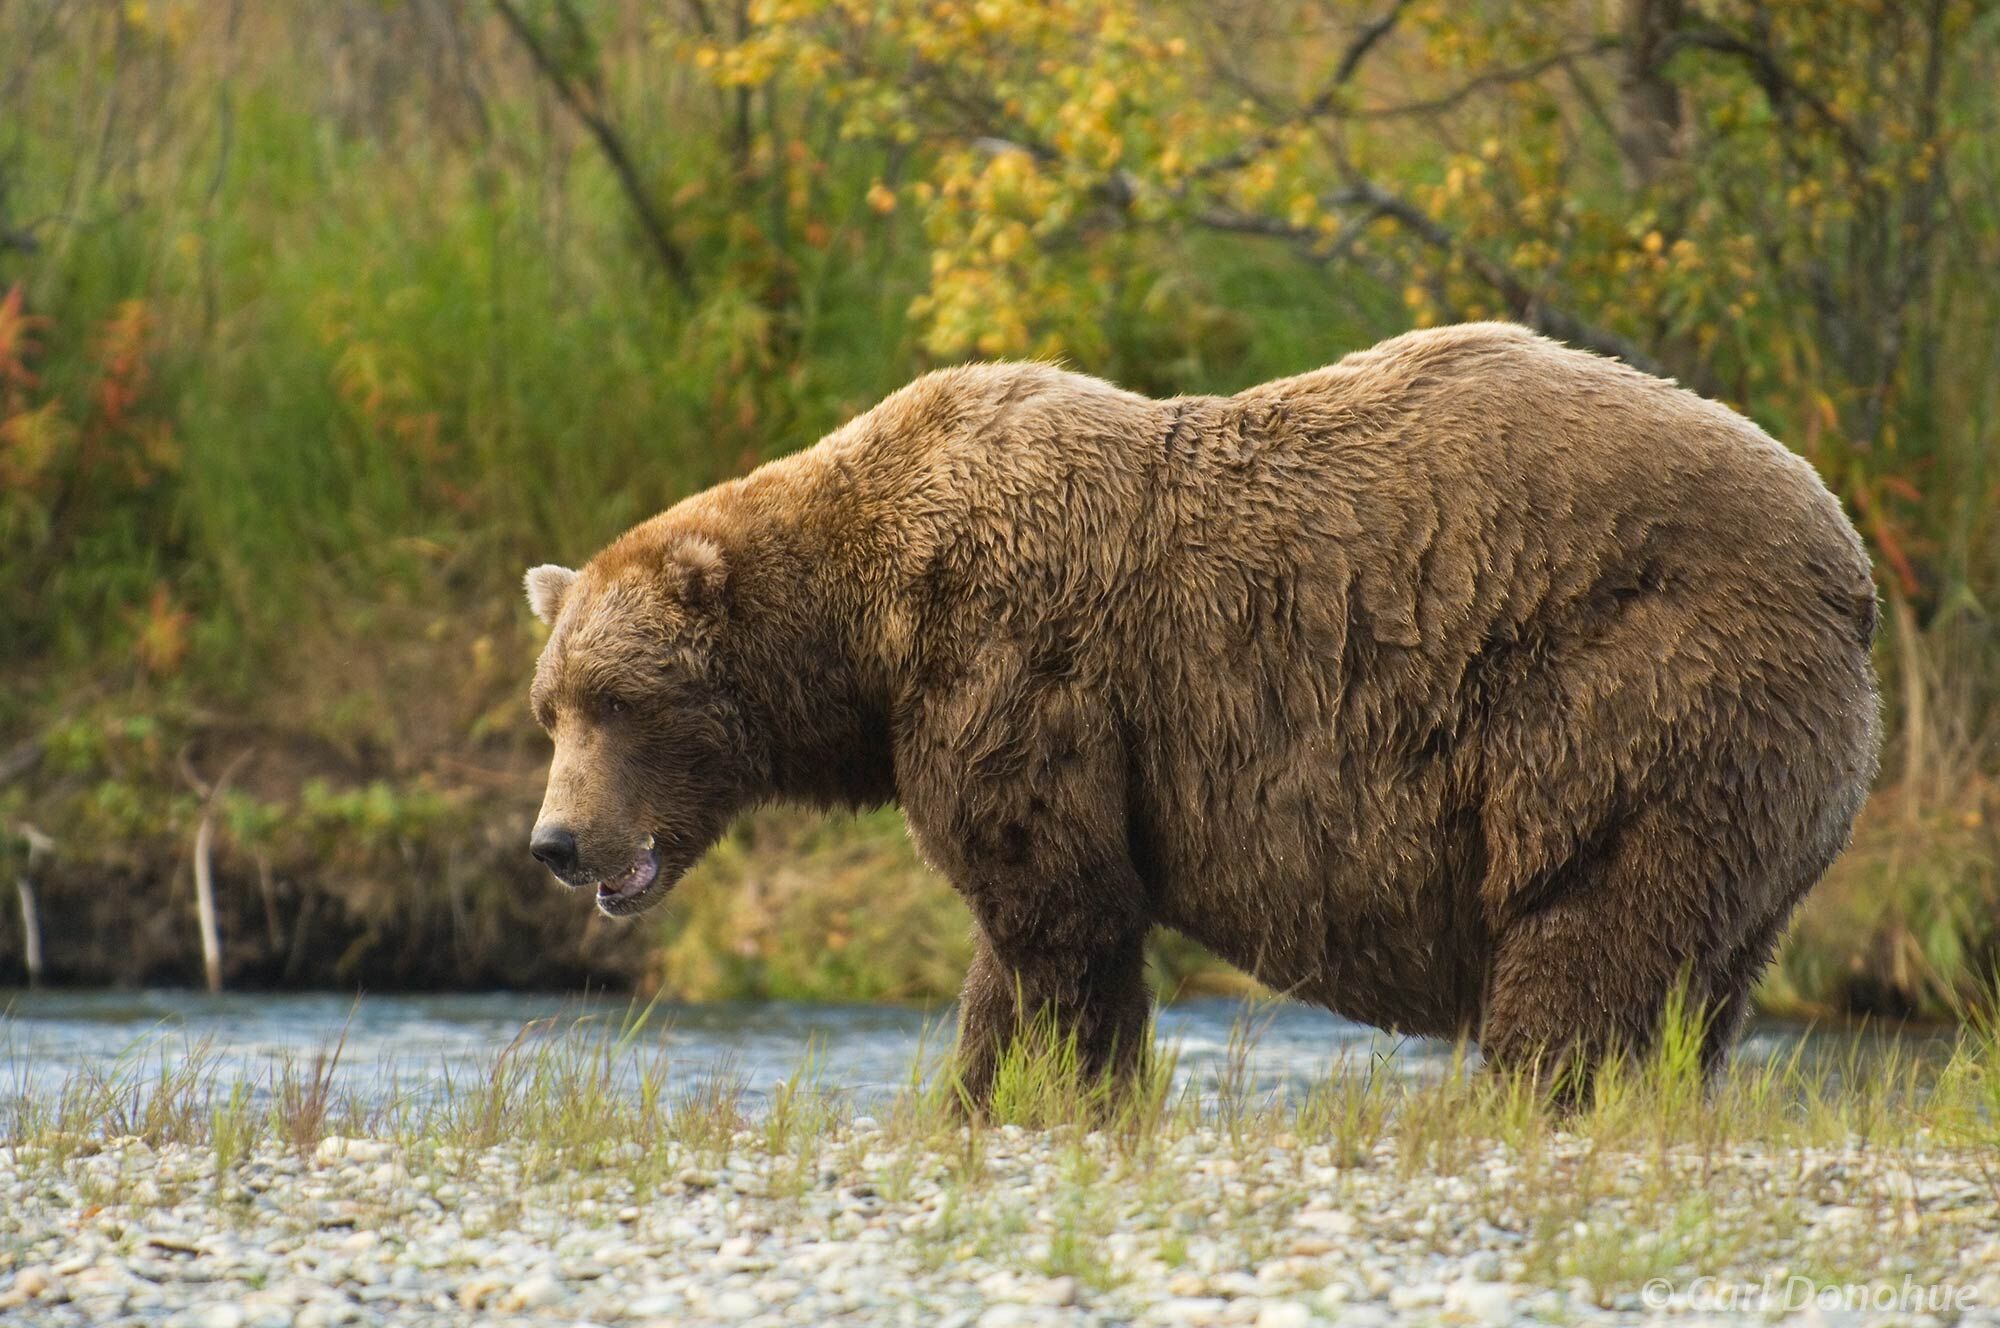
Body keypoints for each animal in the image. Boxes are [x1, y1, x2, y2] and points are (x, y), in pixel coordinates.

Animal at [523, 321, 1880, 1104]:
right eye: (551, 706)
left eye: (619, 698)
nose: (555, 841)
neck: (870, 629)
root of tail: (1845, 561)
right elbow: (1032, 933)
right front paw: (998, 1093)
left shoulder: (1017, 665)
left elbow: (1052, 914)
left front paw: (1041, 1093)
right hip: (1760, 788)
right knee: (1699, 975)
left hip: (1635, 698)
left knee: (1583, 934)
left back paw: (1529, 1092)